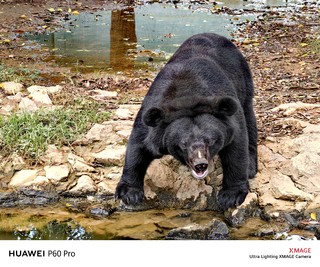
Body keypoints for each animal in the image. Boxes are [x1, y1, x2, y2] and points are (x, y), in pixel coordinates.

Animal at [115, 32, 258, 211]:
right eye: (183, 143)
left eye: (210, 141)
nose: (200, 164)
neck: (188, 98)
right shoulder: (153, 110)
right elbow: (138, 145)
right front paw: (129, 193)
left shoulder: (227, 115)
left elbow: (237, 148)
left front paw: (231, 196)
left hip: (243, 80)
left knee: (249, 119)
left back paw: (251, 167)